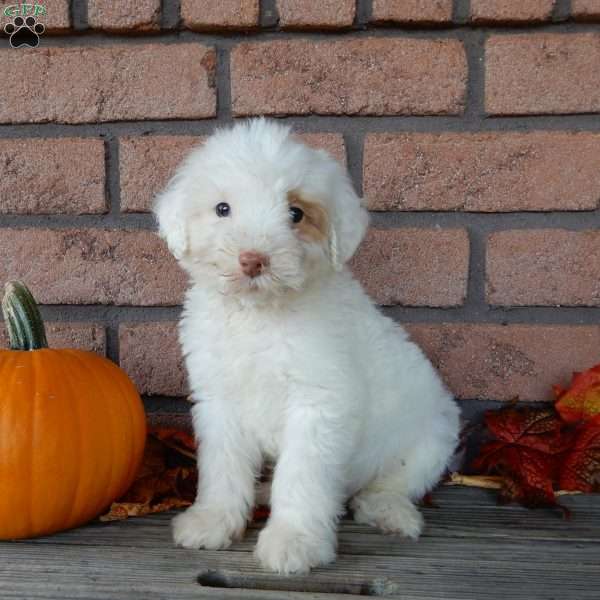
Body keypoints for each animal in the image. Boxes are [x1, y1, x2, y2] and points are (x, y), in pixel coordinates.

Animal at [154, 117, 460, 572]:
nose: (253, 259)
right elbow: (222, 466)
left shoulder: (317, 403)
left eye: (295, 213)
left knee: (391, 483)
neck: (261, 314)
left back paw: (388, 511)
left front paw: (294, 541)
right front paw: (213, 521)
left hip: (432, 437)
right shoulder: (219, 401)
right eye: (222, 209)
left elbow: (302, 477)